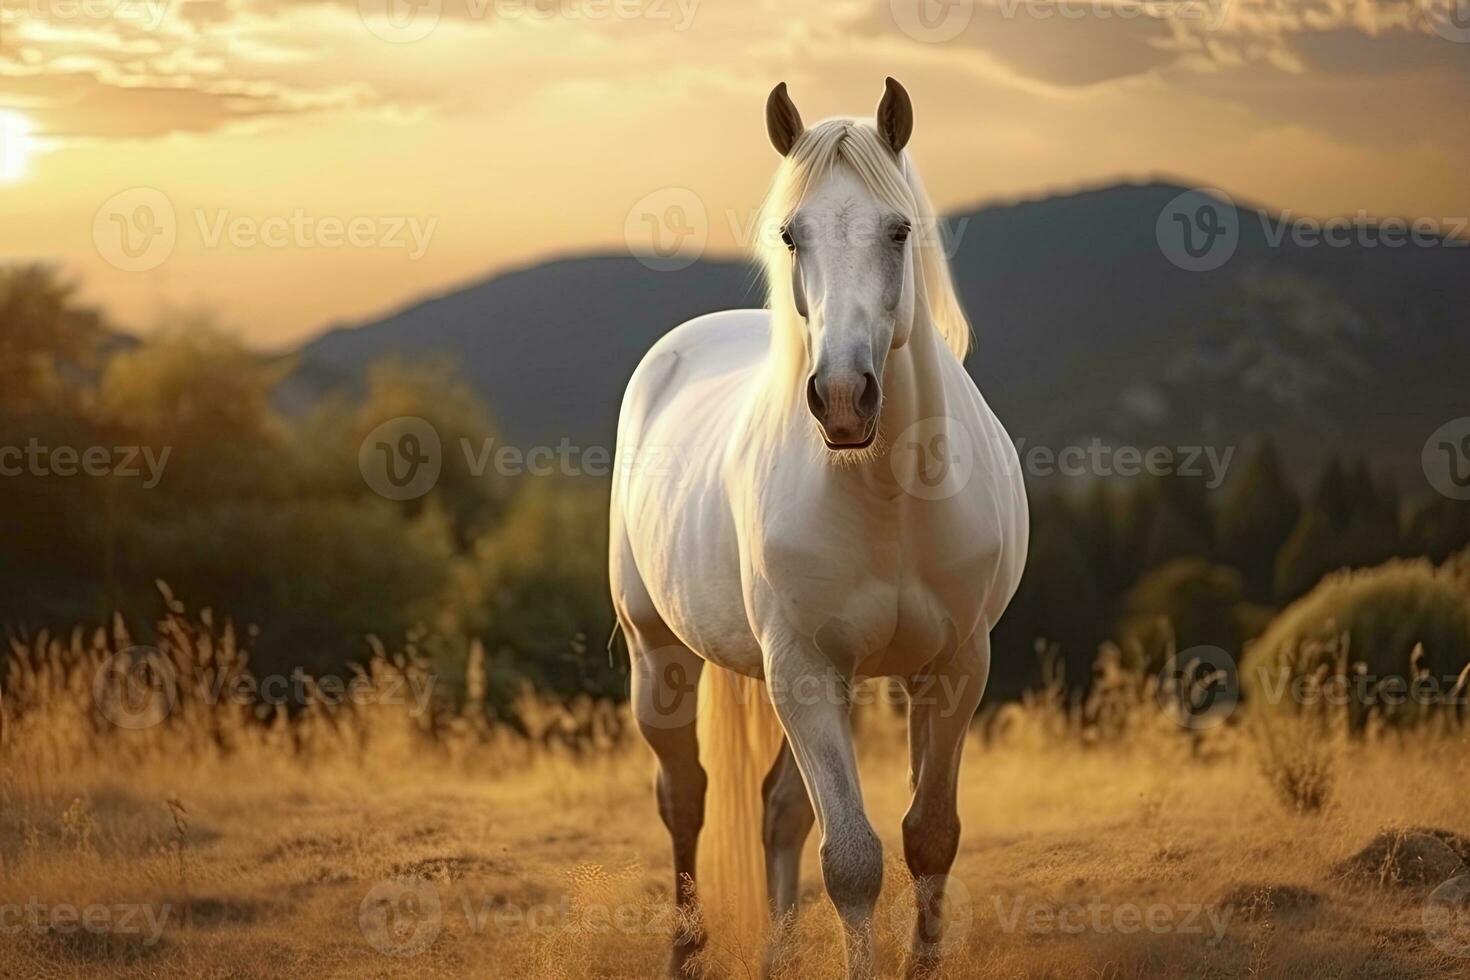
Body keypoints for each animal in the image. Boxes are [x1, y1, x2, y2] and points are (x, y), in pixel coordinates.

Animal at [608, 78, 1023, 980]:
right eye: (792, 234)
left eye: (898, 229)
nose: (841, 398)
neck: (889, 500)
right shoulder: (804, 670)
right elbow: (854, 859)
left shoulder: (953, 668)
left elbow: (928, 837)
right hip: (661, 657)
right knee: (685, 799)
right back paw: (685, 952)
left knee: (777, 811)